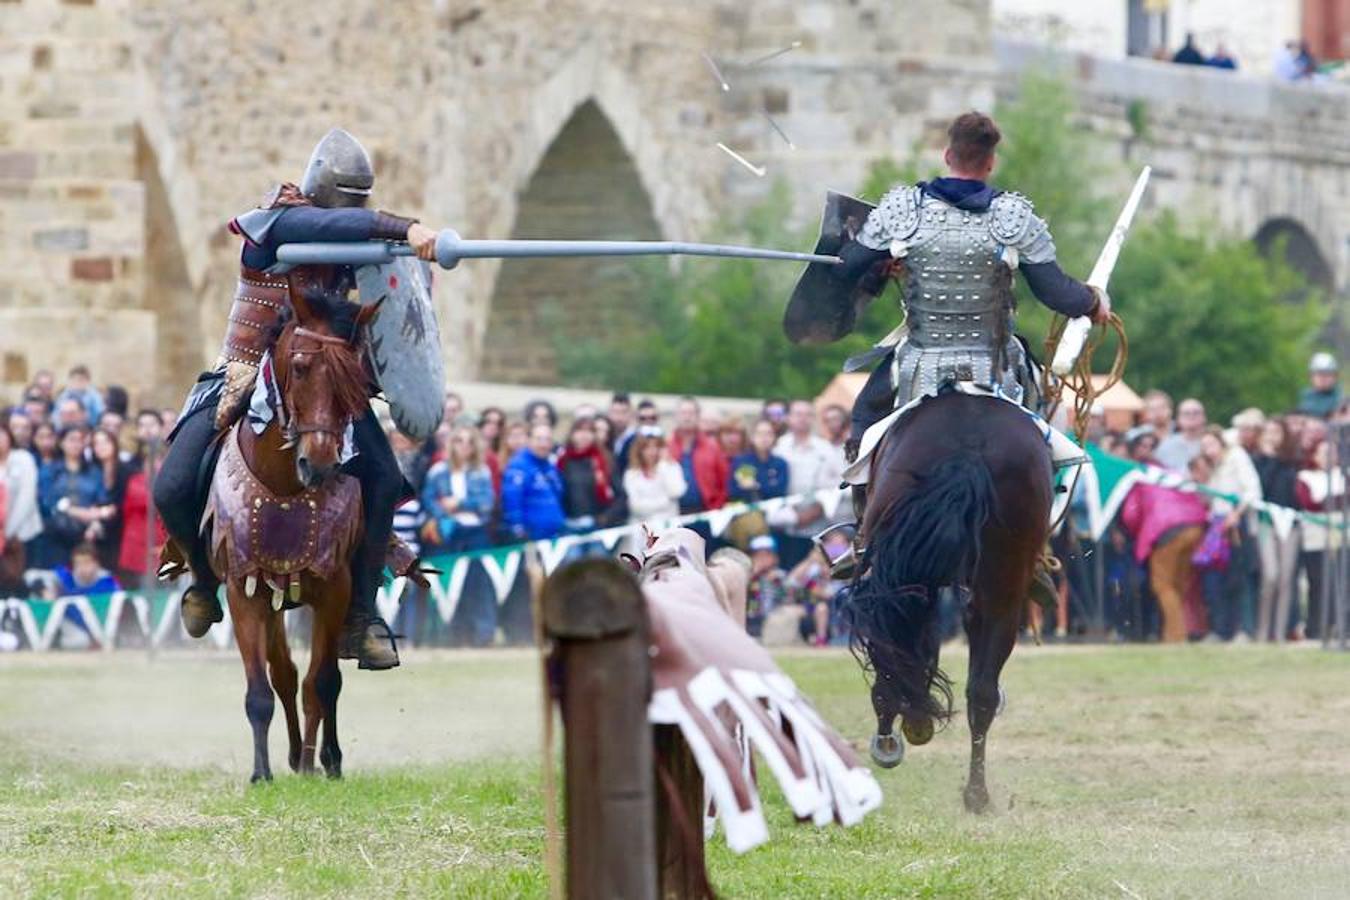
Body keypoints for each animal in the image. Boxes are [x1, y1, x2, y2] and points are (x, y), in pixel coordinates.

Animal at [207, 294, 383, 782]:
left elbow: (322, 682)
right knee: (282, 672)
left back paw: (315, 758)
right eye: (301, 368)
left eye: (357, 377)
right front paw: (261, 773)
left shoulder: (335, 589)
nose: (319, 464)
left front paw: (322, 762)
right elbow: (261, 689)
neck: (285, 483)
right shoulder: (245, 589)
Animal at [842, 391, 1053, 814]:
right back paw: (976, 793)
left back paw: (899, 728)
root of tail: (969, 449)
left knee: (897, 644)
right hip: (1002, 581)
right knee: (982, 689)